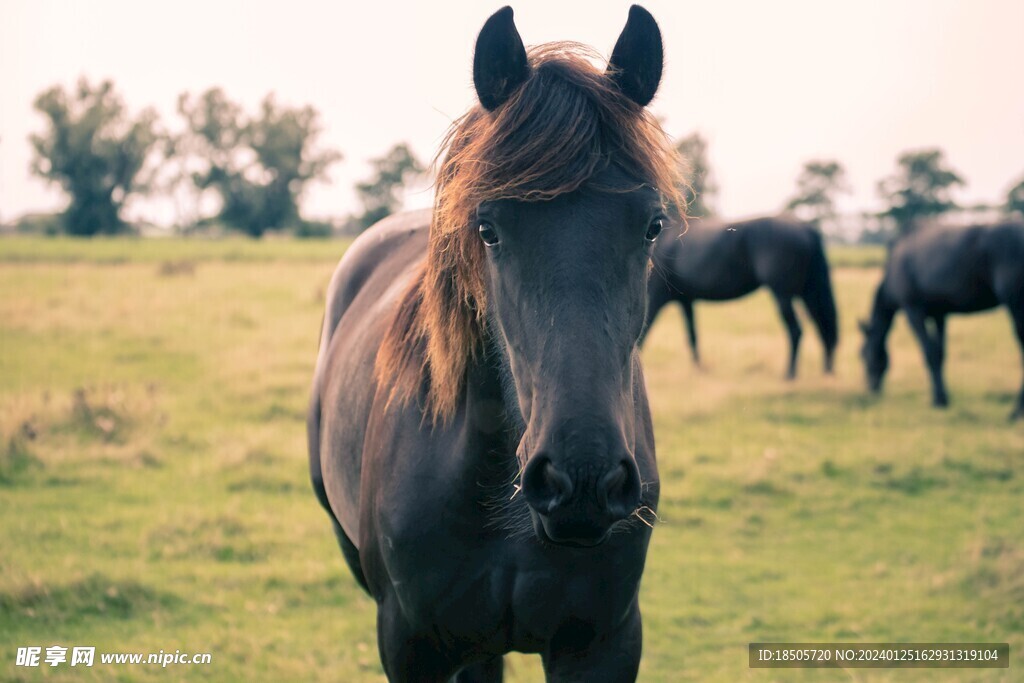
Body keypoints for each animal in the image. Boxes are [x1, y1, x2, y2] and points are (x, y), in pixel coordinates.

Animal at [647, 216, 839, 378]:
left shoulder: (656, 297)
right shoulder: (686, 301)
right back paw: (826, 371)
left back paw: (789, 374)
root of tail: (805, 228)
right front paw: (699, 369)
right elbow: (692, 335)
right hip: (808, 293)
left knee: (796, 330)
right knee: (822, 326)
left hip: (783, 296)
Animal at [856, 222, 1024, 419]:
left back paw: (1016, 411)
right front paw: (944, 397)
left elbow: (930, 353)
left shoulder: (914, 312)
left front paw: (938, 400)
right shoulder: (939, 315)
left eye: (862, 354)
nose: (870, 388)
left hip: (1016, 307)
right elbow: (940, 354)